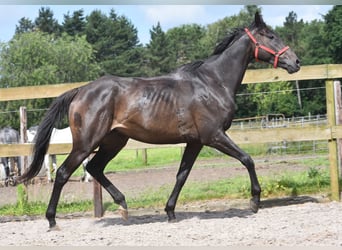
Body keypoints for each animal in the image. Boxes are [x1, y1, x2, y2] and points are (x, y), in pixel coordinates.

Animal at [17, 12, 300, 229]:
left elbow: (182, 175)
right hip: (86, 143)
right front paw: (254, 201)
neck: (212, 82)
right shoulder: (214, 136)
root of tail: (80, 91)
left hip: (114, 141)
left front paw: (170, 212)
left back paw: (123, 206)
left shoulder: (195, 142)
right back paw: (52, 220)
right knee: (65, 172)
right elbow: (247, 159)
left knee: (95, 168)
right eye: (271, 36)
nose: (296, 62)